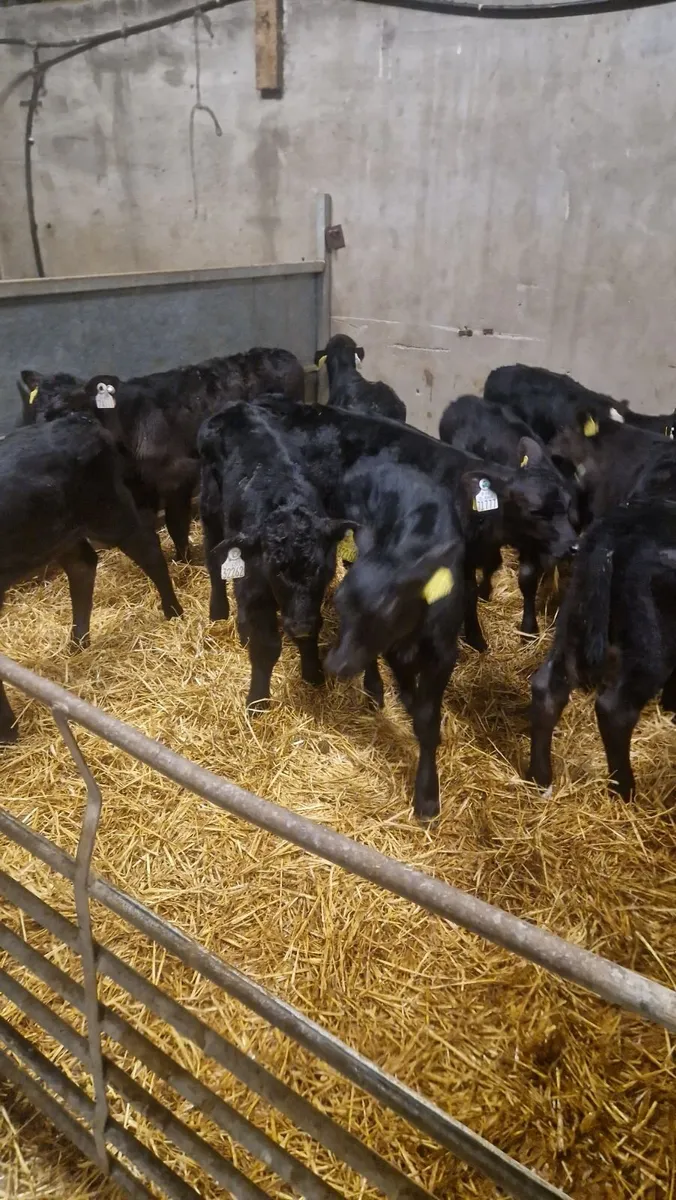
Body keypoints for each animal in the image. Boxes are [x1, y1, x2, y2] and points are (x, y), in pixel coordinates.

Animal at [0, 415, 182, 744]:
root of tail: (77, 420)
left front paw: (7, 731)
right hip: (61, 534)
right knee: (82, 565)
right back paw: (78, 643)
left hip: (109, 513)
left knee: (148, 548)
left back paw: (172, 609)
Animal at [198, 402, 351, 707]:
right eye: (277, 569)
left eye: (322, 570)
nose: (300, 626)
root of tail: (235, 407)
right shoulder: (256, 590)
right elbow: (266, 647)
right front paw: (257, 700)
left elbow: (311, 632)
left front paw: (313, 674)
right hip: (210, 510)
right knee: (214, 561)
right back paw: (219, 611)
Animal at [326, 458, 465, 821]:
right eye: (339, 603)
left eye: (387, 610)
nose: (335, 664)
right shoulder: (391, 647)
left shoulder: (444, 653)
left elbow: (426, 718)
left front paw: (427, 797)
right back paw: (374, 688)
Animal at [528, 499, 676, 800]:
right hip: (652, 645)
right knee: (615, 711)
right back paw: (624, 790)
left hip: (575, 619)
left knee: (547, 689)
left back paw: (540, 779)